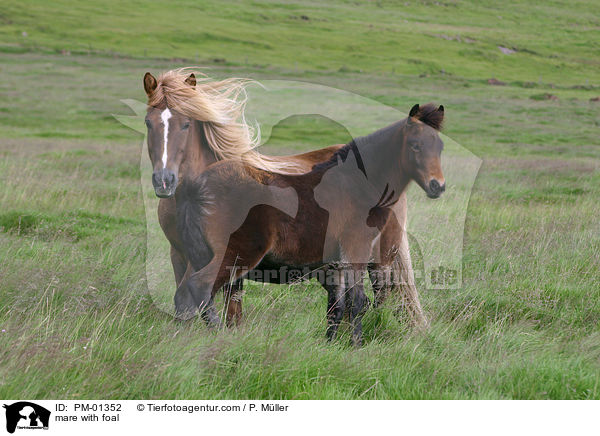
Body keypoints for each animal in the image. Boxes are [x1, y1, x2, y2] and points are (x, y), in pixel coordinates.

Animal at [144, 68, 428, 328]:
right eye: (148, 122)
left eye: (186, 123)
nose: (164, 180)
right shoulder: (179, 255)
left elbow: (229, 309)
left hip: (378, 259)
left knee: (381, 298)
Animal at [173, 104, 446, 346]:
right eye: (415, 145)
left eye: (440, 147)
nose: (437, 186)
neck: (357, 185)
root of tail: (198, 187)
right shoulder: (355, 252)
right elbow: (357, 302)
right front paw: (356, 347)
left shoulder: (335, 264)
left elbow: (338, 307)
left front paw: (331, 346)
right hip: (236, 255)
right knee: (201, 288)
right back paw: (218, 335)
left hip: (201, 255)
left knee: (185, 296)